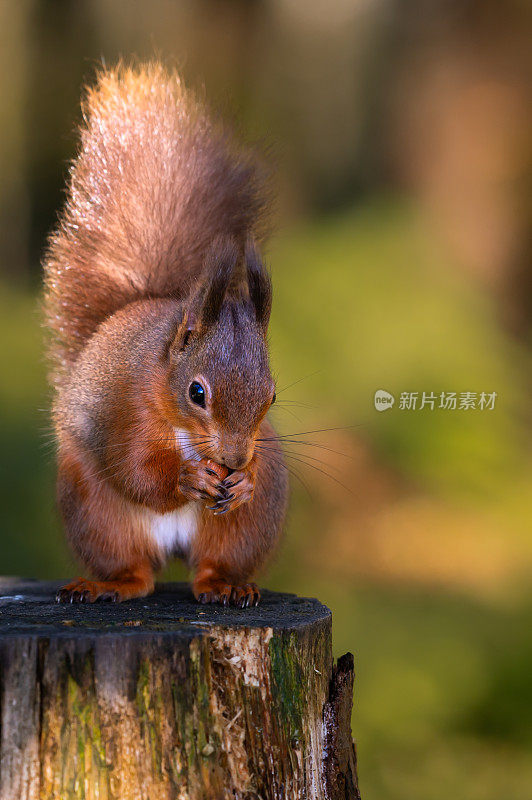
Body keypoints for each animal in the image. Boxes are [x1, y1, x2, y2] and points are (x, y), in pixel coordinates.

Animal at [43, 64, 288, 608]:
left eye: (272, 396)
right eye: (197, 392)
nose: (234, 460)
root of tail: (175, 546)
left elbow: (253, 472)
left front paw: (244, 480)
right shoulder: (122, 409)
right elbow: (135, 467)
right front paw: (185, 476)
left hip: (246, 528)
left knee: (213, 565)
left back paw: (227, 585)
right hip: (96, 511)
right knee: (137, 571)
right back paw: (106, 584)